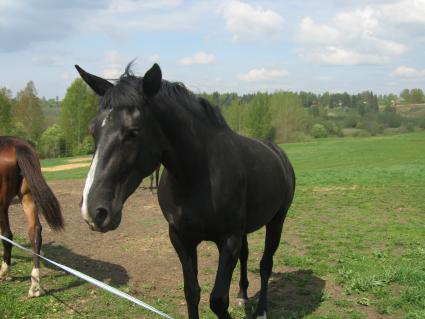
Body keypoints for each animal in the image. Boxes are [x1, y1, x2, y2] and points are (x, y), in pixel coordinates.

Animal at [0, 136, 63, 298]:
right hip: (28, 197)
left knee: (7, 234)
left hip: (3, 203)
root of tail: (16, 145)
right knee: (35, 231)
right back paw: (35, 285)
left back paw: (4, 272)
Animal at [76, 63, 294, 319]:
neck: (198, 175)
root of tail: (278, 153)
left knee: (265, 264)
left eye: (133, 131)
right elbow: (192, 292)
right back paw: (242, 295)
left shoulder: (229, 239)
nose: (93, 211)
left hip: (276, 221)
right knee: (246, 255)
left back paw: (261, 310)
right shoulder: (182, 238)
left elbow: (218, 300)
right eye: (92, 130)